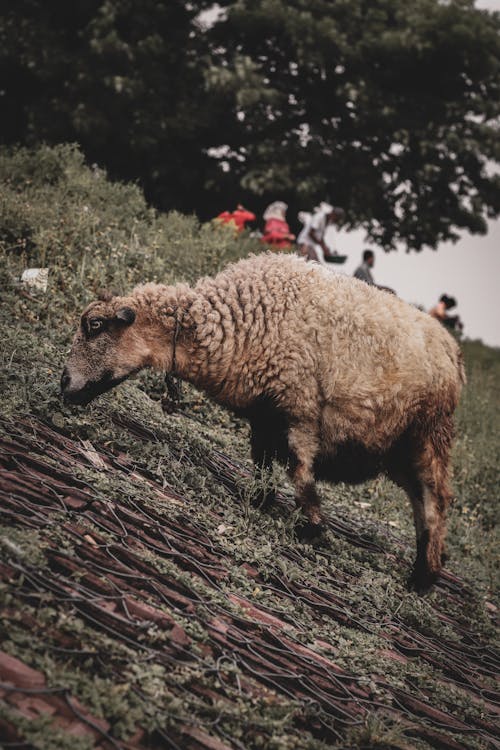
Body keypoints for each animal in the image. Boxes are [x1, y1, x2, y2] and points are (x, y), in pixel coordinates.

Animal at [61, 253, 464, 592]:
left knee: (436, 499)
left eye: (95, 325)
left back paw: (423, 578)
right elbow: (263, 464)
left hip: (430, 434)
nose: (64, 385)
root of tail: (451, 351)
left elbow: (300, 469)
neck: (237, 325)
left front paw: (312, 526)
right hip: (399, 449)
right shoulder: (265, 415)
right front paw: (261, 501)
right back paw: (424, 568)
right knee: (420, 499)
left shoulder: (299, 405)